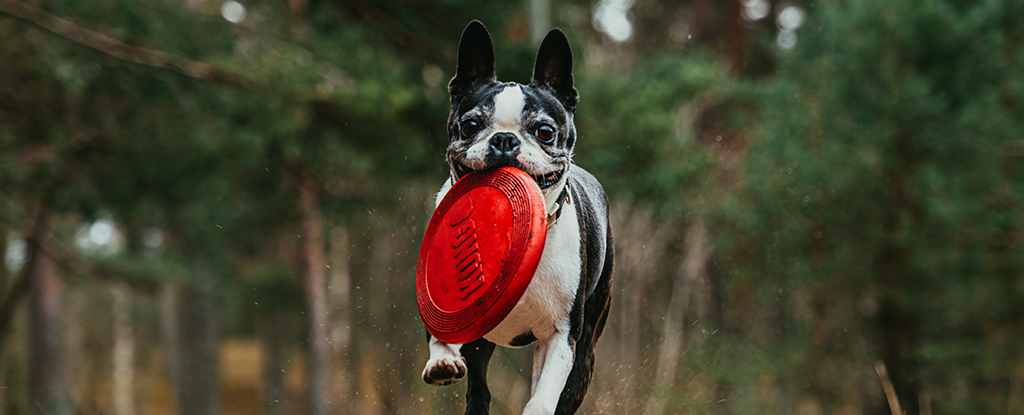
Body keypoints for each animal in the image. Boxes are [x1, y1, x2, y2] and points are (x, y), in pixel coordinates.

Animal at [417, 20, 610, 413]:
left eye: (545, 132)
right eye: (470, 125)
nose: (504, 139)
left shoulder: (562, 335)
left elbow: (546, 393)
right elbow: (439, 328)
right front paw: (442, 360)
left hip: (586, 350)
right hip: (482, 345)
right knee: (479, 392)